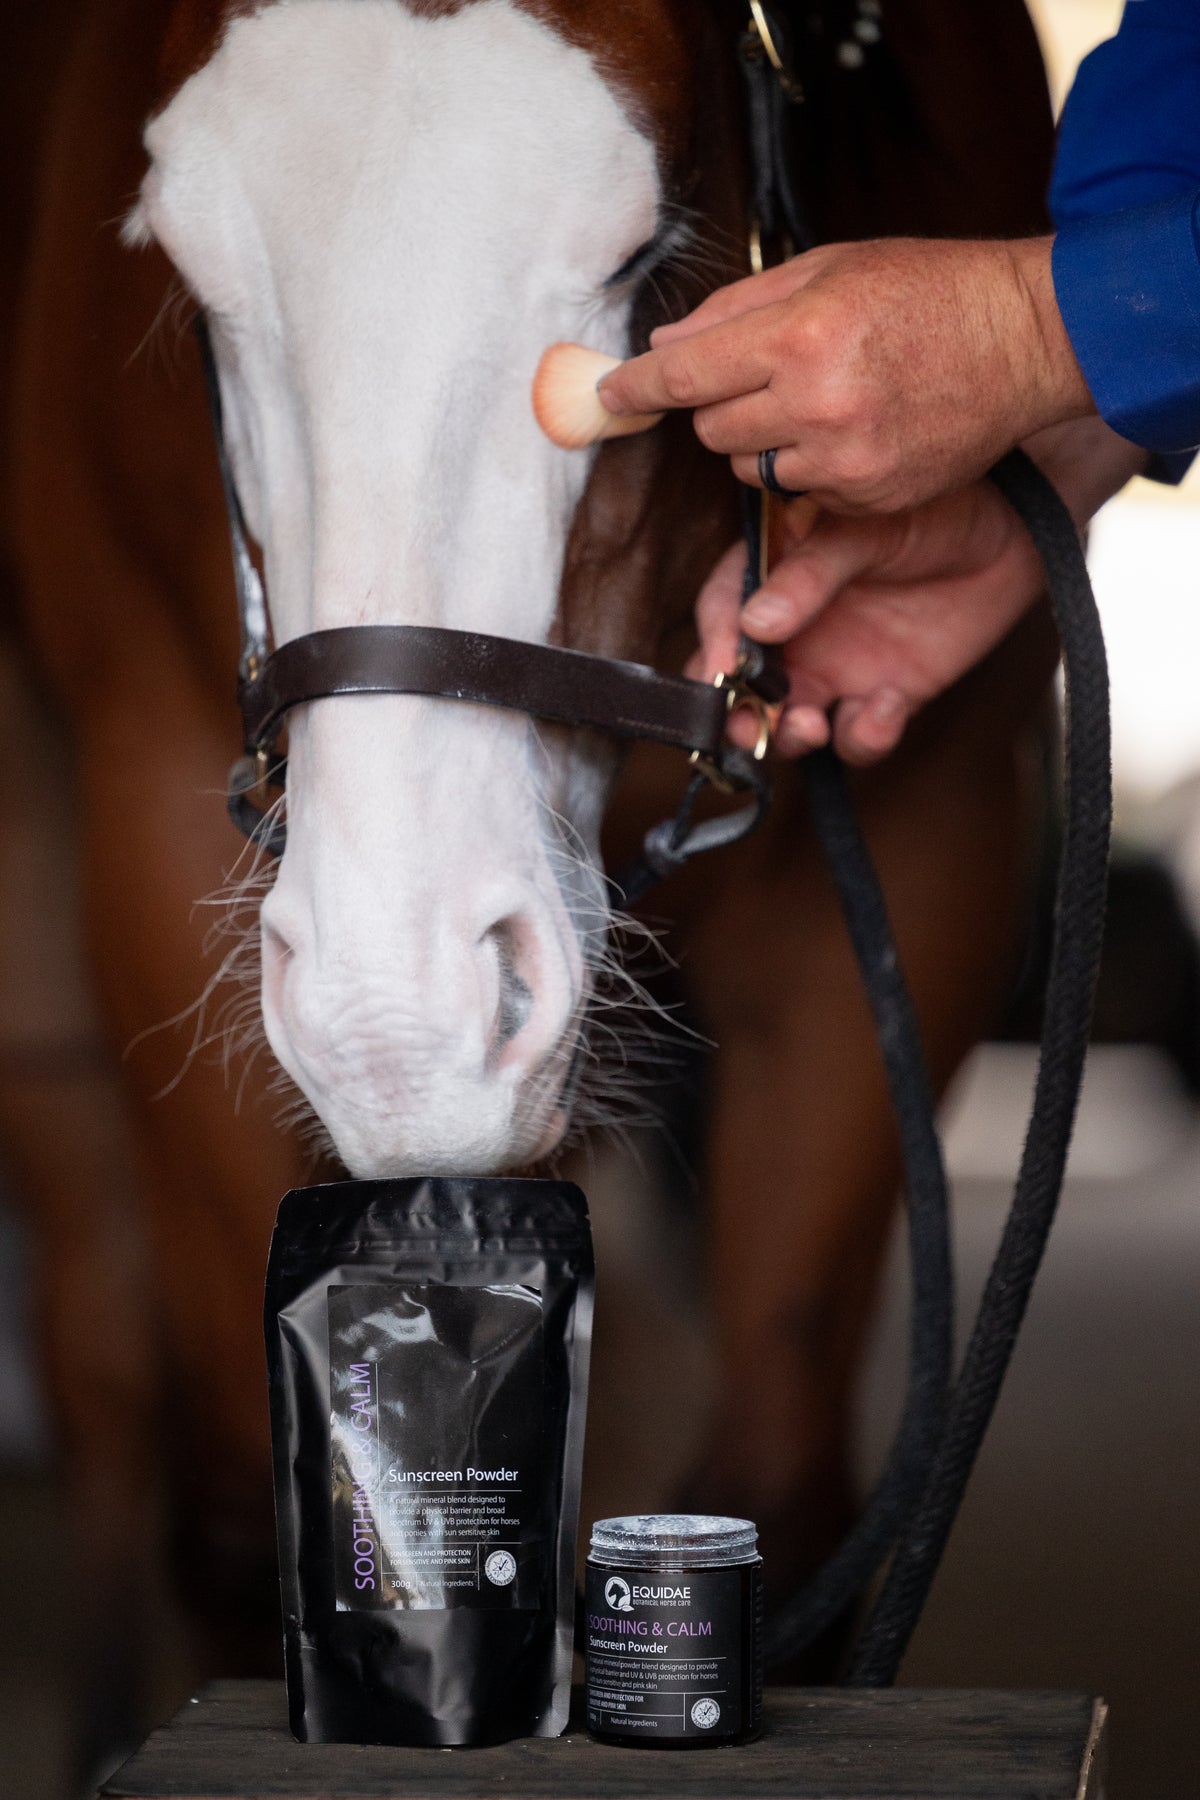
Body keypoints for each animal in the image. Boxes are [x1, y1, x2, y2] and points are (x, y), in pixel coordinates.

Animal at [9, 0, 1058, 1767]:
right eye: (194, 281)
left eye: (654, 257)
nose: (400, 1023)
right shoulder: (151, 821)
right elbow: (227, 1505)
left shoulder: (925, 851)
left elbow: (779, 1471)